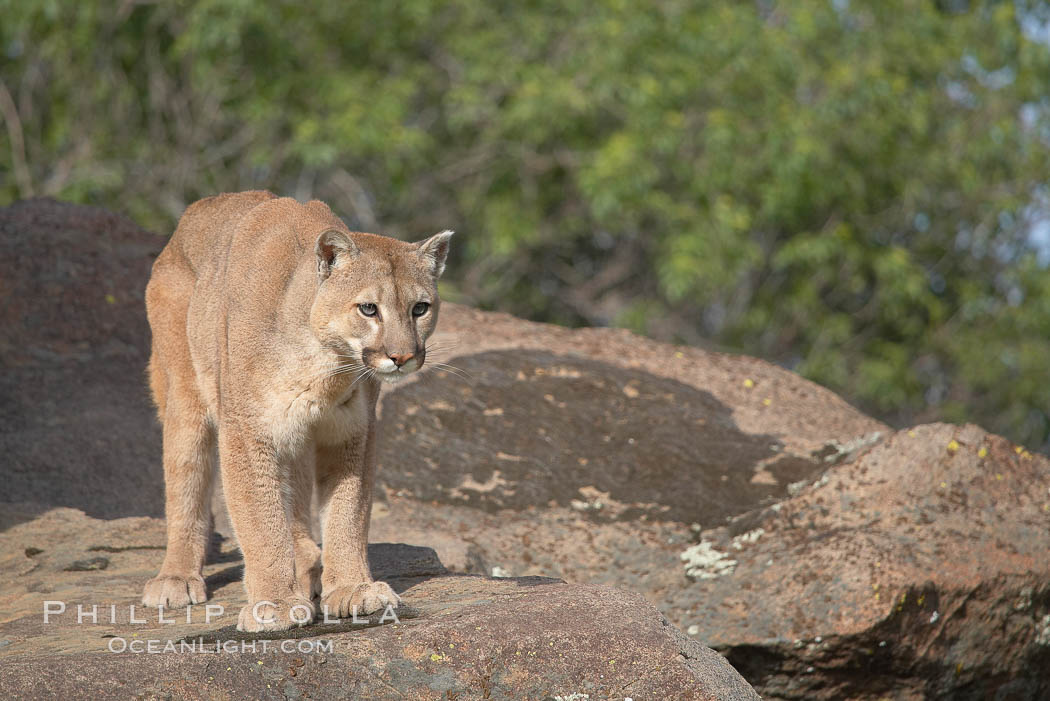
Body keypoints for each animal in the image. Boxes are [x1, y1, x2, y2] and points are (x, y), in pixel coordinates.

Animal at [140, 189, 451, 629]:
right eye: (368, 309)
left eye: (420, 308)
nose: (402, 356)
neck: (323, 366)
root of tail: (198, 208)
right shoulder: (247, 431)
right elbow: (259, 517)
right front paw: (275, 602)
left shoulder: (351, 432)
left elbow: (348, 514)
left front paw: (352, 588)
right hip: (185, 395)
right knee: (186, 478)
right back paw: (176, 578)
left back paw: (308, 565)